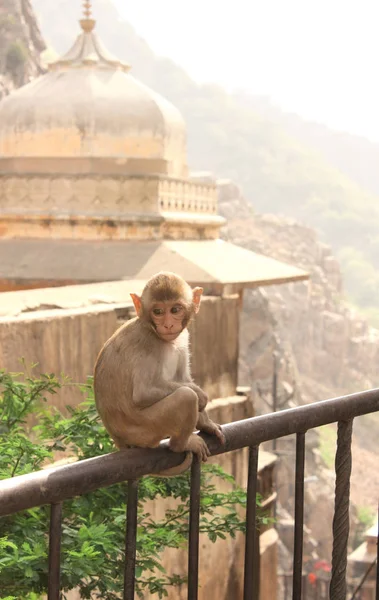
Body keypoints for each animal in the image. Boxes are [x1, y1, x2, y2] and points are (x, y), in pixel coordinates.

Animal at [94, 270, 226, 476]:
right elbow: (143, 393)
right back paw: (181, 444)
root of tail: (118, 439)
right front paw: (202, 396)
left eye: (175, 310)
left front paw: (207, 424)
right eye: (158, 312)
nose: (168, 325)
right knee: (186, 397)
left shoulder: (183, 336)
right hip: (143, 430)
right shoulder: (147, 344)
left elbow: (183, 377)